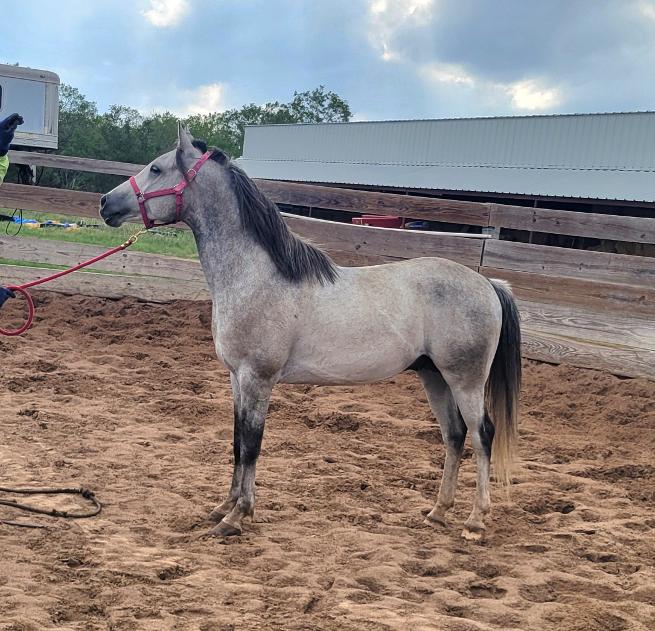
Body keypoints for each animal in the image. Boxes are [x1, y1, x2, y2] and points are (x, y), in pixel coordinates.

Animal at [99, 125, 521, 541]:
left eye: (156, 169)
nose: (105, 203)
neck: (257, 276)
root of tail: (488, 284)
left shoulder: (258, 378)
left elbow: (251, 445)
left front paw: (237, 517)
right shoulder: (237, 378)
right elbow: (236, 441)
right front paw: (224, 506)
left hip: (464, 380)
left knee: (482, 434)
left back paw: (475, 521)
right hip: (434, 376)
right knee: (454, 435)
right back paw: (437, 512)